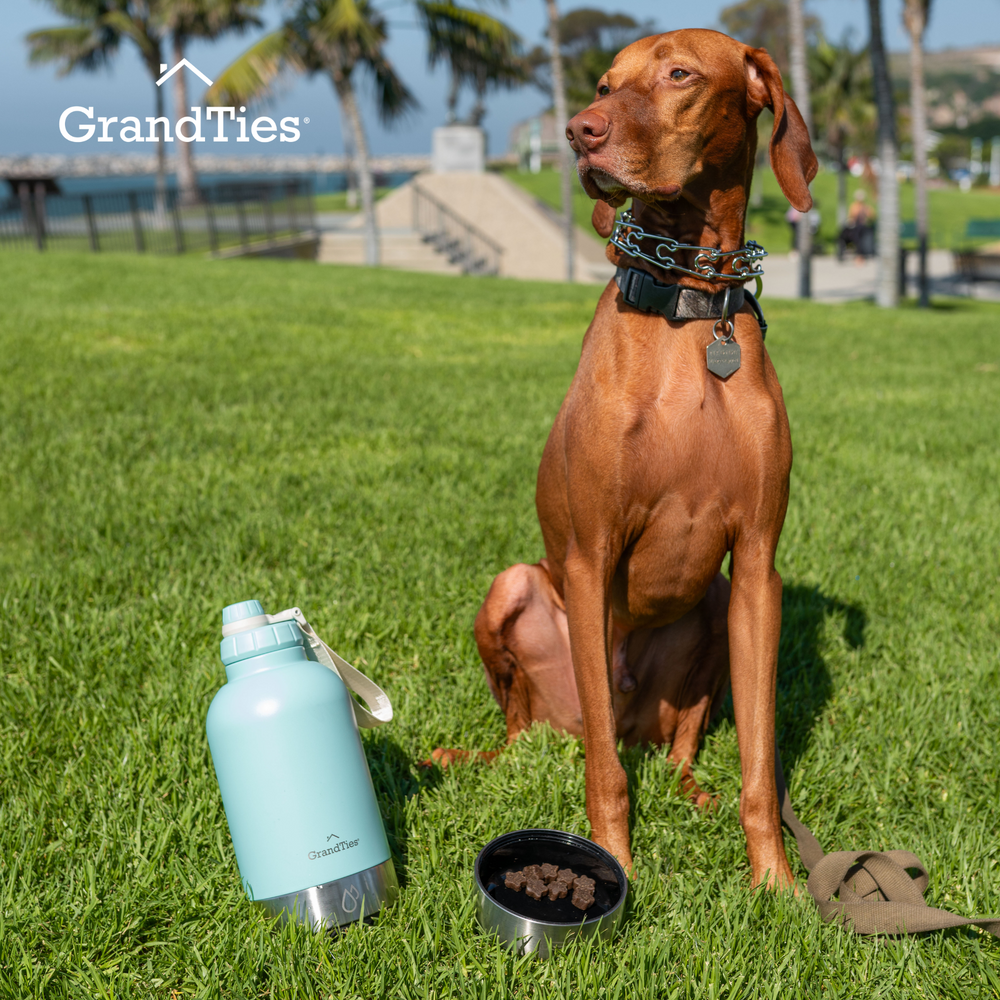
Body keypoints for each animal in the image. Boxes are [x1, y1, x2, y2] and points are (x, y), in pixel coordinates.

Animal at [434, 29, 816, 892]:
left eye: (678, 74)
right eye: (606, 83)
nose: (580, 131)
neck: (688, 305)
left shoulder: (757, 569)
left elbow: (760, 762)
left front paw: (776, 883)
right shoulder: (589, 554)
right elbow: (605, 774)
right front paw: (616, 863)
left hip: (712, 609)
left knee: (676, 751)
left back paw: (692, 792)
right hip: (517, 594)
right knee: (548, 735)